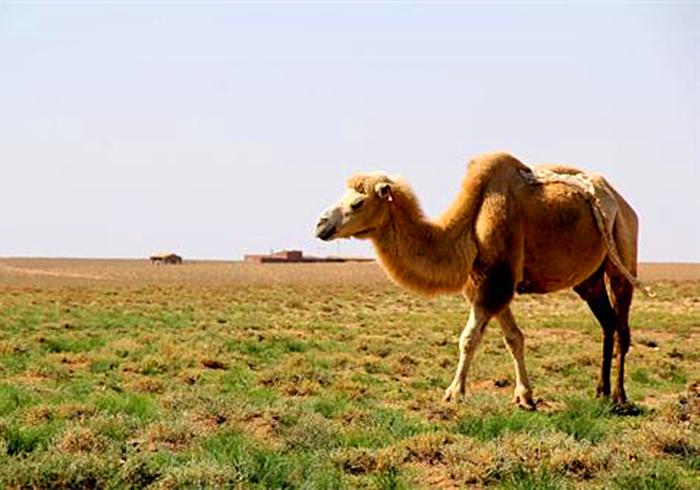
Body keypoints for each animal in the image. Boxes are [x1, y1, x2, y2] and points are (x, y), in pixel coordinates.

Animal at [314, 151, 644, 408]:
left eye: (357, 203)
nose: (320, 224)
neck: (469, 226)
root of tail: (622, 202)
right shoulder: (488, 282)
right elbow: (514, 338)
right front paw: (525, 396)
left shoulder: (495, 281)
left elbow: (468, 338)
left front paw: (453, 393)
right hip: (589, 280)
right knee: (608, 323)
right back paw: (600, 391)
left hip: (622, 252)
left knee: (622, 326)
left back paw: (619, 396)